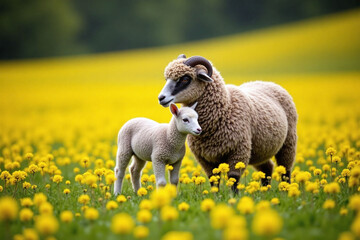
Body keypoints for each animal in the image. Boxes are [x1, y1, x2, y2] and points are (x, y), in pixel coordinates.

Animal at [158, 54, 298, 189]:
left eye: (185, 78)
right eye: (167, 79)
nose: (161, 98)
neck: (225, 107)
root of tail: (266, 82)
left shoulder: (239, 151)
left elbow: (233, 179)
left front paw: (233, 196)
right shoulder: (204, 157)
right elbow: (214, 180)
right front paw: (216, 194)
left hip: (288, 142)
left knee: (285, 171)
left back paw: (286, 190)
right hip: (261, 150)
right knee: (267, 168)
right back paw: (265, 191)